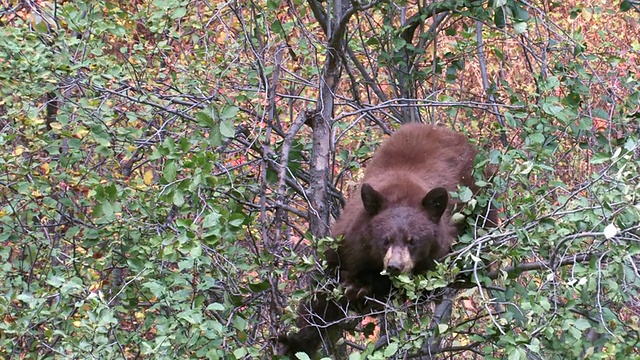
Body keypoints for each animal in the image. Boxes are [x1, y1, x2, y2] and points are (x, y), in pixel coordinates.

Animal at [278, 123, 492, 358]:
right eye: (385, 240)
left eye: (412, 240)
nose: (395, 266)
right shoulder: (346, 243)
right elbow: (322, 290)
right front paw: (296, 341)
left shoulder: (437, 258)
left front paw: (360, 288)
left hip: (480, 198)